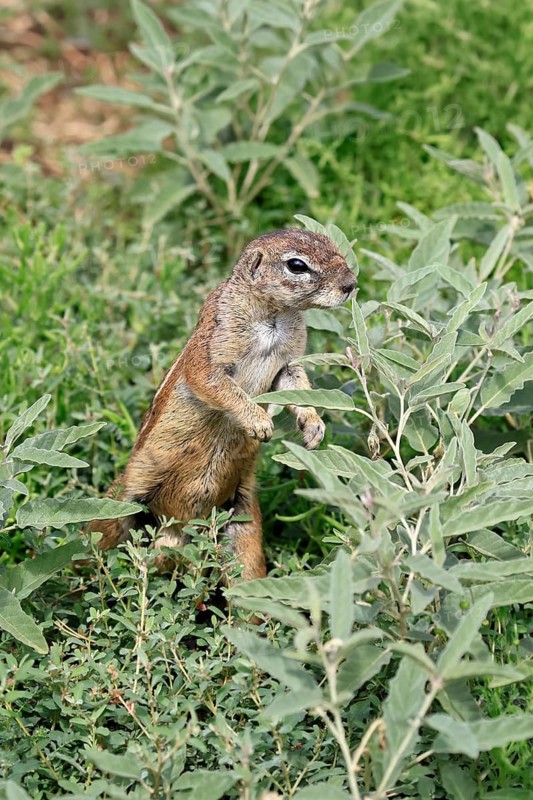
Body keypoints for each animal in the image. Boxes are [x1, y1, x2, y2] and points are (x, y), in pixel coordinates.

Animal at [89, 228, 356, 581]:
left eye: (332, 244)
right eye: (297, 265)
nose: (351, 283)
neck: (274, 316)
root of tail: (178, 525)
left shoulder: (288, 363)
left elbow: (295, 387)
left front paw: (313, 427)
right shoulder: (214, 347)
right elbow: (219, 386)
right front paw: (259, 423)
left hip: (243, 524)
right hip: (120, 502)